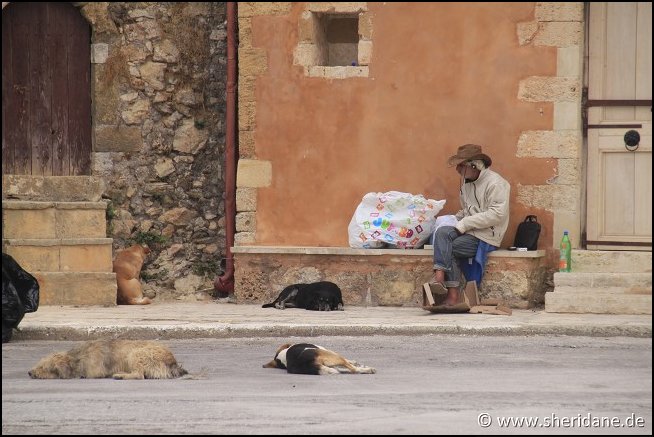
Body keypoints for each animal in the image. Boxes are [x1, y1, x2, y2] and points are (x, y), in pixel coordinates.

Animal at [29, 338, 188, 378]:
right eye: (39, 364)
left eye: (44, 368)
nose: (30, 372)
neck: (77, 359)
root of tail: (173, 362)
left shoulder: (94, 371)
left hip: (135, 354)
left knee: (139, 375)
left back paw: (121, 375)